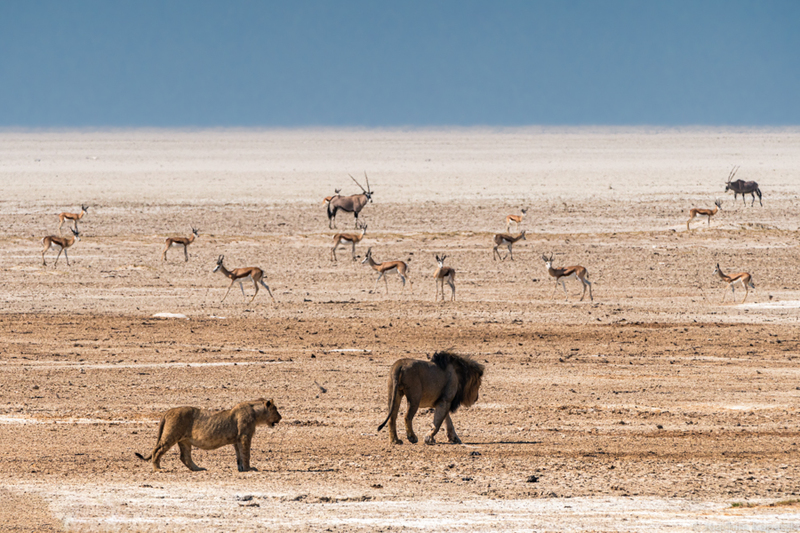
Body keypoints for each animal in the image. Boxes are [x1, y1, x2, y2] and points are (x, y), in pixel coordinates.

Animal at [135, 398, 281, 472]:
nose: (280, 417)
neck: (257, 414)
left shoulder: (237, 440)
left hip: (184, 440)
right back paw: (158, 469)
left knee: (184, 456)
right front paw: (250, 468)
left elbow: (239, 455)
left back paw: (198, 468)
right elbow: (246, 454)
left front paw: (241, 469)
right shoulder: (245, 437)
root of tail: (168, 411)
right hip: (171, 435)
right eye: (275, 409)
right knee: (157, 450)